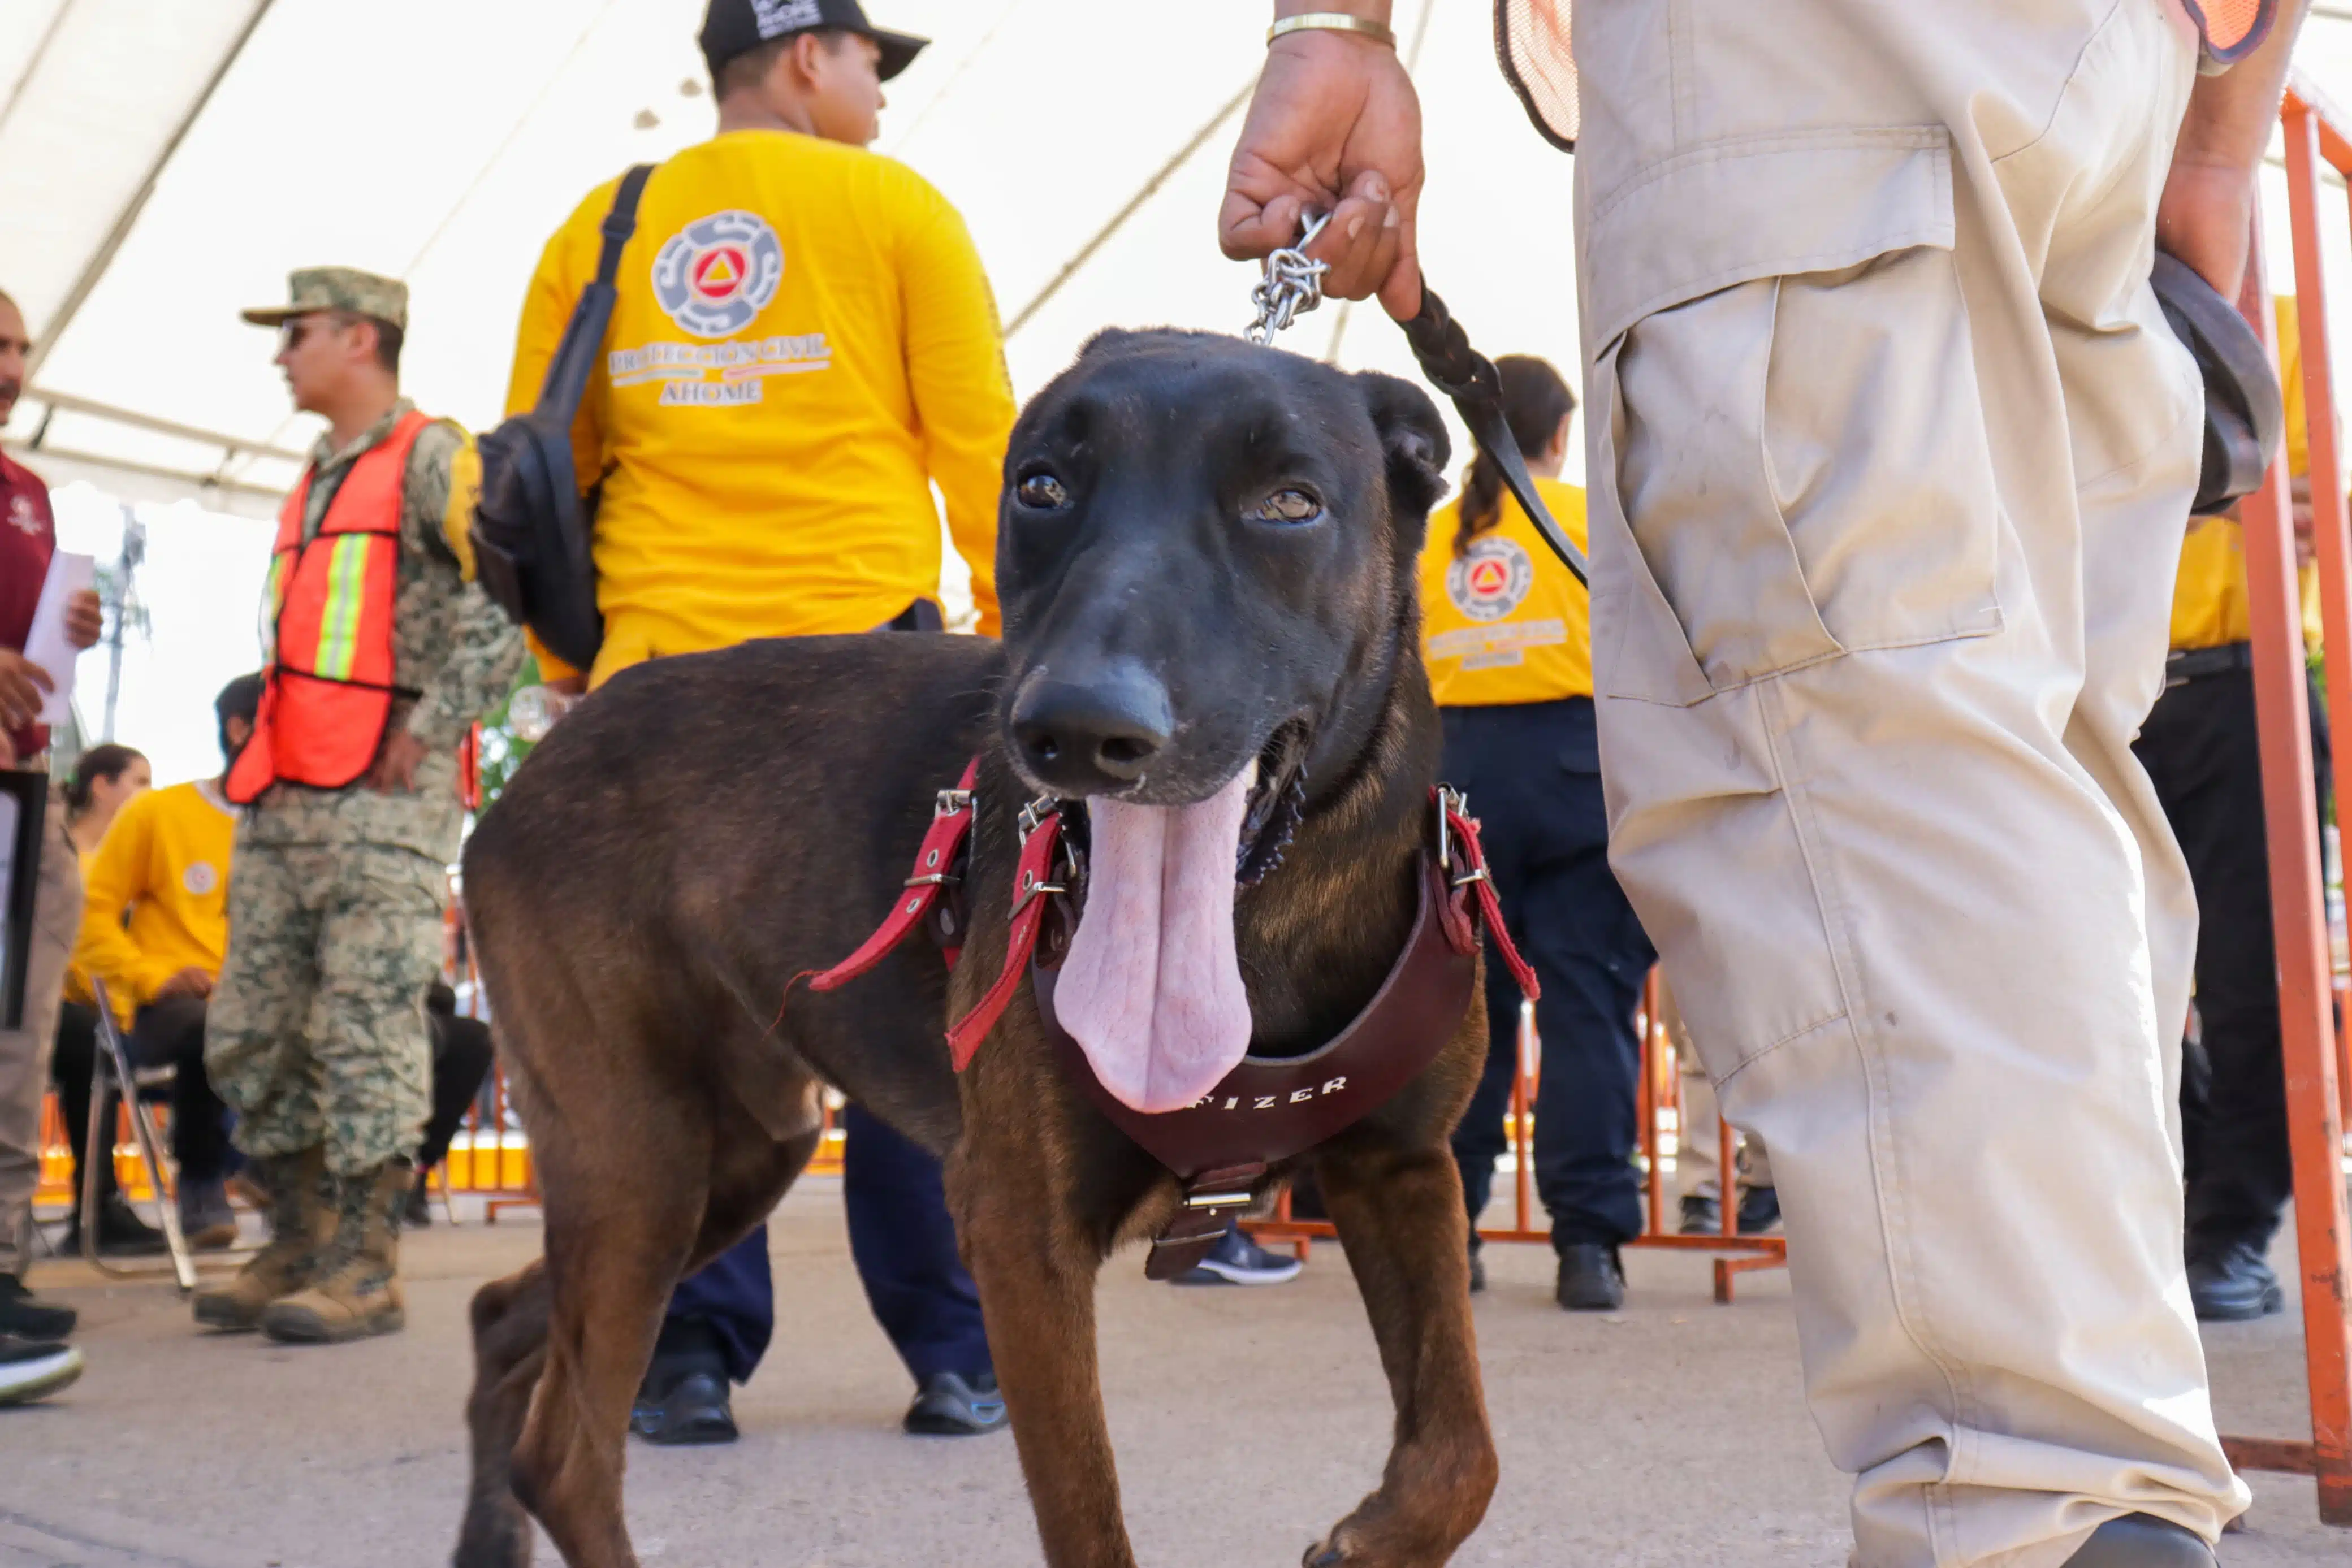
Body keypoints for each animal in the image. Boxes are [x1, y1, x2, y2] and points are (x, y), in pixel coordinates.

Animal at [449, 333, 1495, 1568]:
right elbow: (1091, 1526)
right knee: (567, 1454)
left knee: (503, 1321)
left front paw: (1373, 1538)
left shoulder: (1402, 1168)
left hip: (730, 1160)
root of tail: (524, 779)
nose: (1077, 728)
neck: (1263, 939)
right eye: (1040, 484)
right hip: (642, 1166)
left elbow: (1462, 1452)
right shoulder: (1018, 1232)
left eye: (1291, 501)